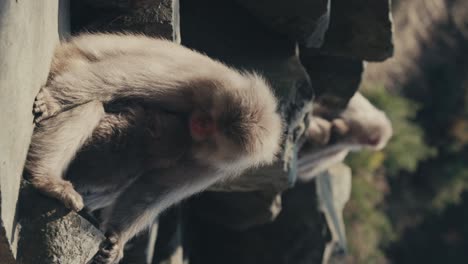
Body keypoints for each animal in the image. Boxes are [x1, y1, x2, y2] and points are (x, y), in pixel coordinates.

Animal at [25, 33, 284, 264]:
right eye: (211, 119)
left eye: (213, 131)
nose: (200, 124)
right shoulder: (193, 80)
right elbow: (115, 78)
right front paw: (53, 101)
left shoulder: (213, 166)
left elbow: (155, 186)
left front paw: (117, 237)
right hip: (64, 64)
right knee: (95, 104)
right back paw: (47, 179)